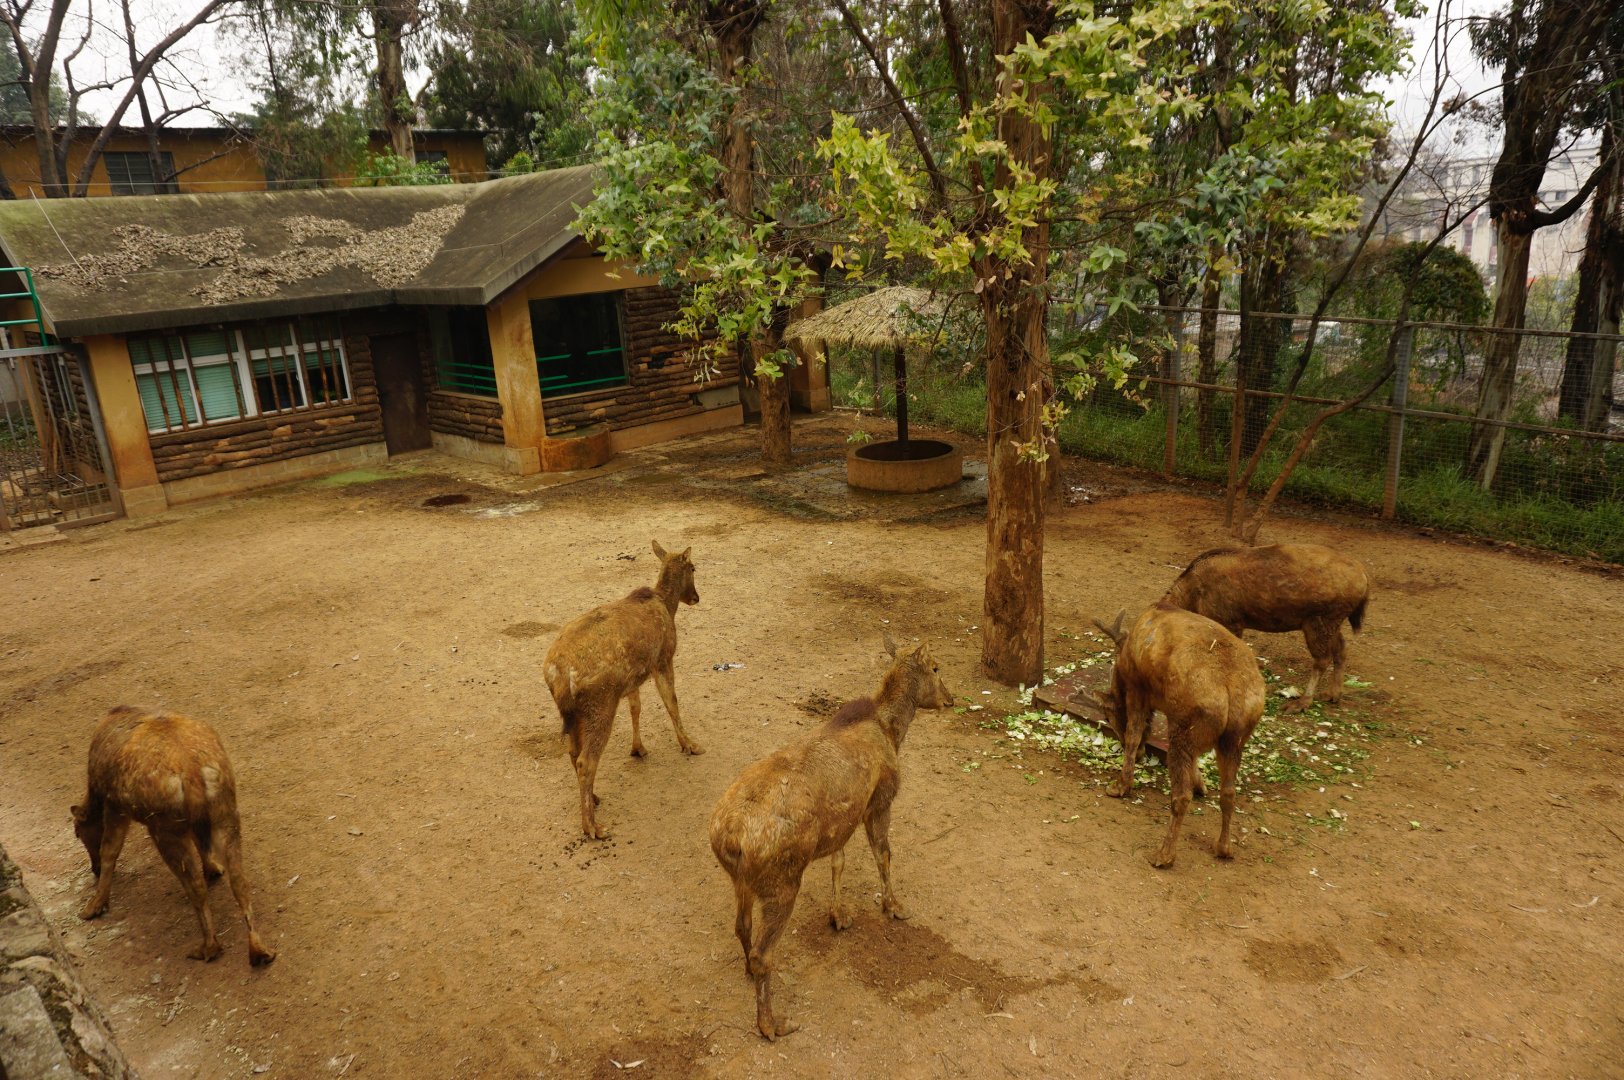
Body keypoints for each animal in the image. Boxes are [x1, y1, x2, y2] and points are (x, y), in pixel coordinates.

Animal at [71, 706, 276, 966]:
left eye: (78, 832)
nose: (93, 868)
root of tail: (192, 772)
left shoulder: (115, 806)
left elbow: (110, 850)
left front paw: (95, 906)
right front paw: (213, 868)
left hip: (166, 828)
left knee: (196, 886)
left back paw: (208, 947)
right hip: (226, 812)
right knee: (239, 881)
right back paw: (259, 951)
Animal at [543, 539, 704, 839]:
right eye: (693, 567)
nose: (696, 598)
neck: (667, 604)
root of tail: (556, 675)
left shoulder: (632, 679)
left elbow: (636, 708)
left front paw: (638, 748)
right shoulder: (663, 658)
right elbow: (672, 702)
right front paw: (690, 744)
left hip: (573, 713)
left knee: (573, 752)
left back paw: (593, 799)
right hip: (600, 704)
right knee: (586, 761)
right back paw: (592, 826)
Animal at [1083, 605, 1265, 869]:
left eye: (1108, 716)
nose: (1119, 738)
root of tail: (1232, 692)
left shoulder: (1138, 691)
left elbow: (1134, 734)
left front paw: (1120, 786)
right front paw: (1201, 784)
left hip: (1184, 726)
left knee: (1181, 795)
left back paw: (1163, 855)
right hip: (1235, 739)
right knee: (1229, 792)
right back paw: (1223, 847)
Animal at [1162, 542, 1370, 711]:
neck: (1192, 595)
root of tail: (1364, 577)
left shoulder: (1231, 622)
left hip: (1318, 623)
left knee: (1322, 660)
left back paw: (1301, 702)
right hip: (1332, 623)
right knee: (1341, 649)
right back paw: (1333, 694)